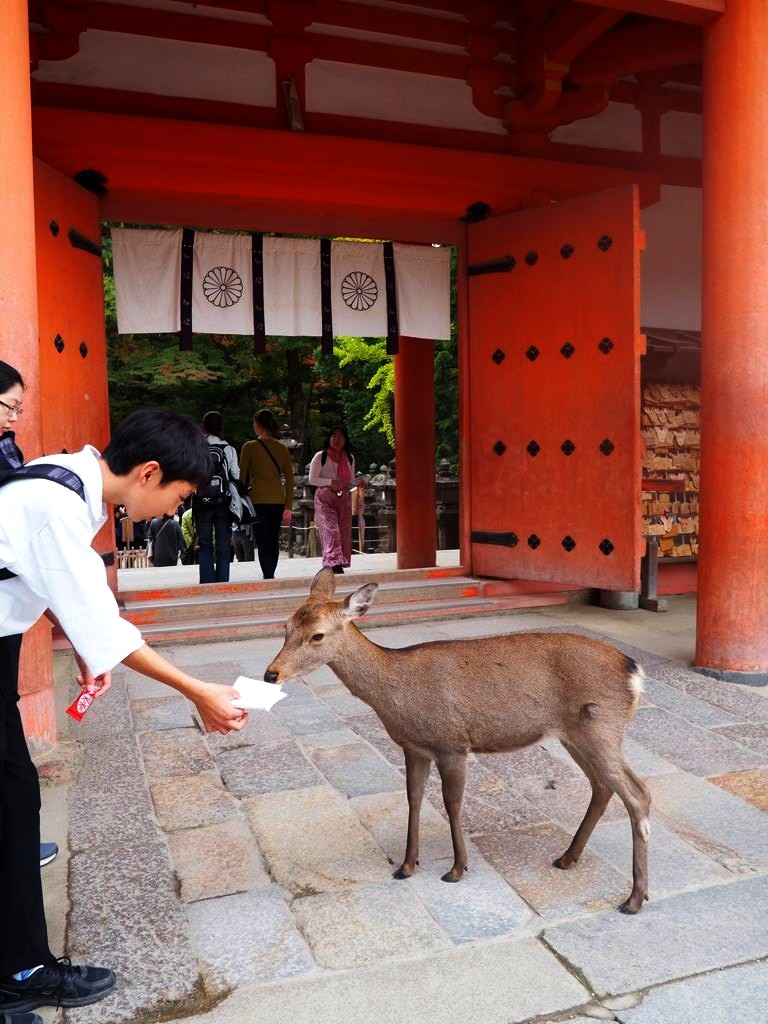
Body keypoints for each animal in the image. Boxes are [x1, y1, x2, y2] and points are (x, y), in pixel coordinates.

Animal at [264, 569, 651, 914]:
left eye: (317, 635)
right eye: (285, 627)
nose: (271, 674)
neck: (394, 695)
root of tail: (635, 672)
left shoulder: (451, 743)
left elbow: (452, 803)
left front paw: (456, 869)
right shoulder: (413, 747)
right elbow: (414, 798)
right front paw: (407, 866)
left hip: (601, 728)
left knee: (638, 793)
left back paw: (634, 899)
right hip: (576, 735)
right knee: (603, 787)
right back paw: (568, 858)